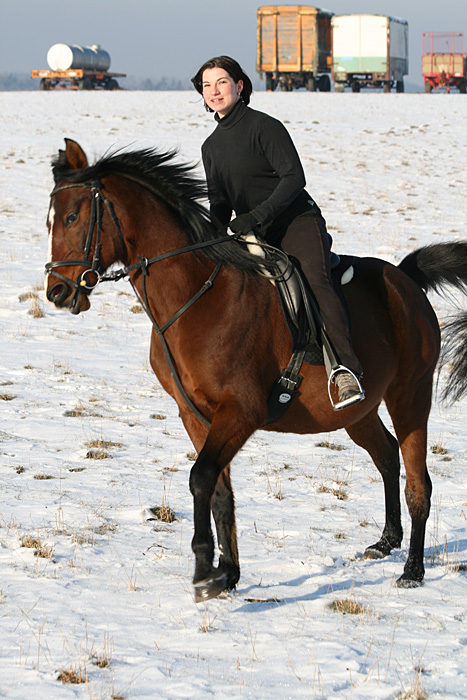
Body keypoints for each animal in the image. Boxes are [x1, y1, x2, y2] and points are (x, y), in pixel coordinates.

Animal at [45, 138, 467, 602]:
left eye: (72, 216)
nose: (57, 292)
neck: (196, 296)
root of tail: (405, 281)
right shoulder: (196, 414)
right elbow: (219, 490)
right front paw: (226, 575)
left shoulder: (241, 411)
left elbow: (200, 477)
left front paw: (203, 572)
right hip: (357, 410)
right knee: (388, 455)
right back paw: (386, 540)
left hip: (410, 394)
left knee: (418, 482)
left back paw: (412, 569)